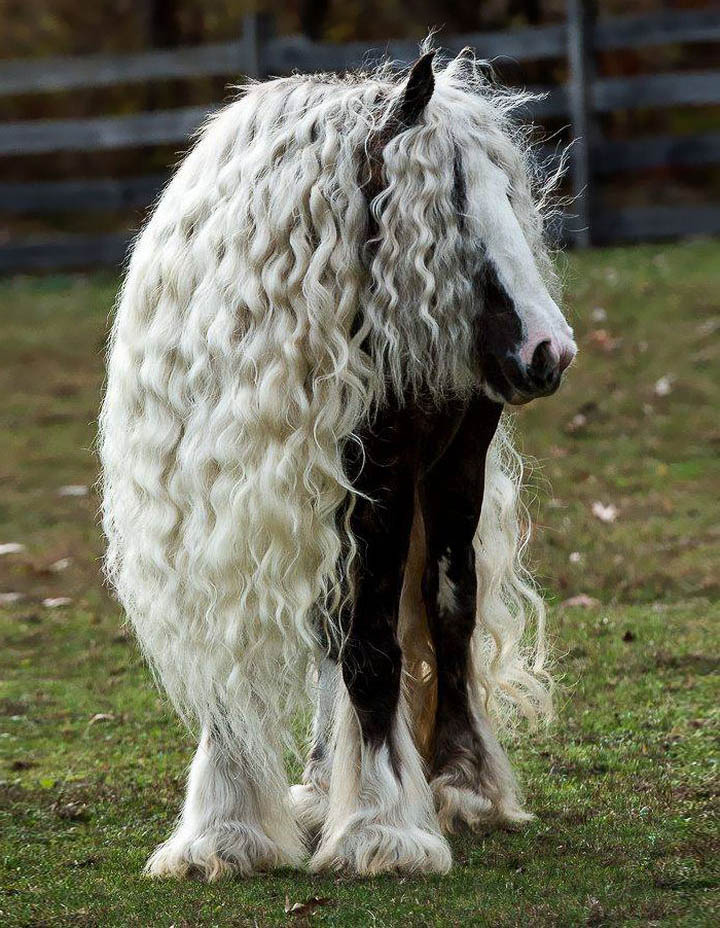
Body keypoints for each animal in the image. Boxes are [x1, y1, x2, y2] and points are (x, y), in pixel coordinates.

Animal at [98, 47, 576, 880]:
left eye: (508, 197)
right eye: (452, 206)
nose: (549, 351)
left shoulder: (378, 485)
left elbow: (376, 649)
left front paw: (381, 826)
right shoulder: (217, 511)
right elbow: (246, 654)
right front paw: (226, 830)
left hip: (452, 471)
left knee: (448, 609)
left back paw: (461, 785)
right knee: (335, 626)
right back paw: (324, 786)